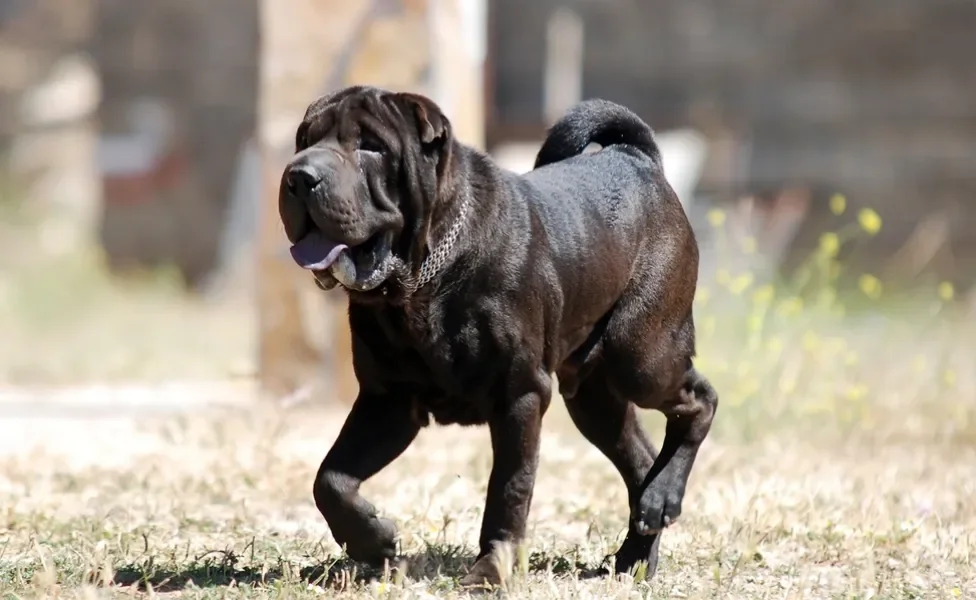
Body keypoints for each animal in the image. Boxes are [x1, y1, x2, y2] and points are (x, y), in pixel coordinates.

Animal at [274, 84, 716, 584]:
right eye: (305, 140)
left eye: (371, 146)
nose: (300, 177)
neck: (421, 282)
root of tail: (635, 157)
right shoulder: (388, 401)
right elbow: (330, 479)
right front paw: (376, 541)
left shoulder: (519, 393)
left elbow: (509, 487)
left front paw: (491, 569)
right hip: (593, 397)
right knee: (639, 458)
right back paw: (642, 541)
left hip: (641, 356)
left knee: (699, 400)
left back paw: (660, 501)